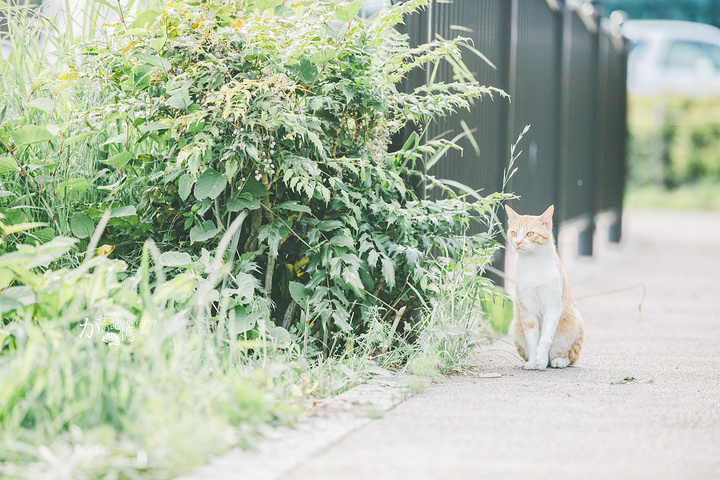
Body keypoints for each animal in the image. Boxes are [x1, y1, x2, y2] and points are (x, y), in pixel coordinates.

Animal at [504, 204, 584, 370]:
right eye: (514, 233)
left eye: (530, 233)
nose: (518, 242)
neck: (533, 263)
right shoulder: (527, 310)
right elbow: (532, 339)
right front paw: (534, 361)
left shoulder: (552, 306)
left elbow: (546, 337)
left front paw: (540, 360)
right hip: (516, 327)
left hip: (573, 323)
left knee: (570, 357)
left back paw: (558, 360)